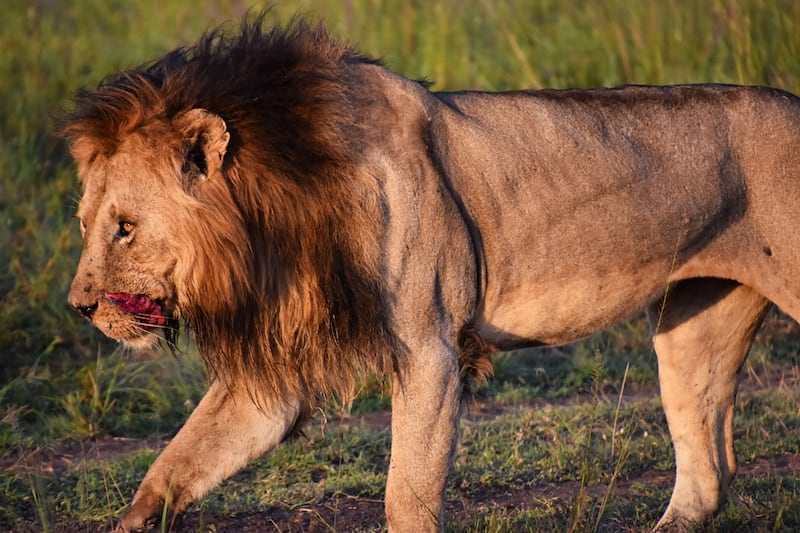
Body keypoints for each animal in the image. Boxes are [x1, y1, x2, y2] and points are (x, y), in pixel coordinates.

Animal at [61, 14, 800, 528]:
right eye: (84, 224)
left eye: (125, 227)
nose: (79, 306)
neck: (274, 212)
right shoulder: (277, 373)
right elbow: (180, 458)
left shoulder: (431, 351)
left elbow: (405, 496)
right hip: (693, 319)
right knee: (706, 471)